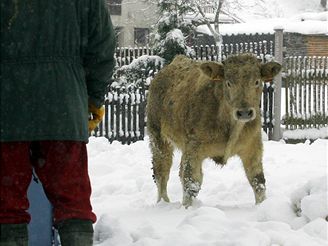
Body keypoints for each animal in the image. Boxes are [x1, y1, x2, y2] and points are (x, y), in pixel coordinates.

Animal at [147, 54, 280, 208]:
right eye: (228, 82)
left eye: (257, 81)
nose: (244, 112)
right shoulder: (194, 150)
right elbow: (191, 182)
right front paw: (187, 208)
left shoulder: (253, 148)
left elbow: (258, 181)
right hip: (158, 138)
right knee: (161, 172)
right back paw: (163, 203)